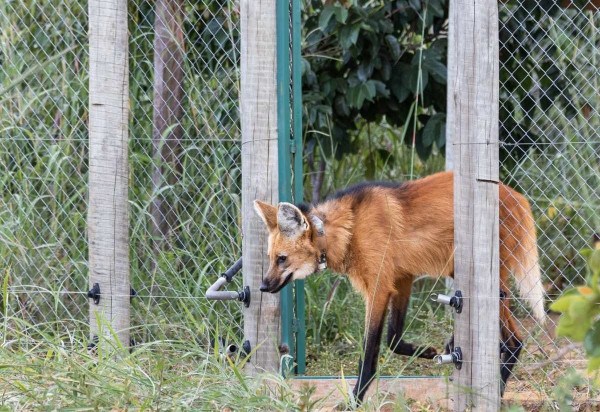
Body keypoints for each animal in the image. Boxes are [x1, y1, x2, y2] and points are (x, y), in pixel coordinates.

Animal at [253, 170, 544, 402]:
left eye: (282, 259)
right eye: (270, 258)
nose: (263, 287)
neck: (348, 231)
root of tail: (515, 194)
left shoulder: (379, 289)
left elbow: (369, 352)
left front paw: (355, 400)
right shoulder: (403, 279)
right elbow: (393, 338)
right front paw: (427, 352)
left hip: (490, 279)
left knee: (514, 340)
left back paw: (498, 390)